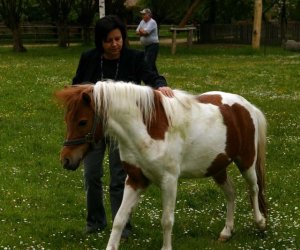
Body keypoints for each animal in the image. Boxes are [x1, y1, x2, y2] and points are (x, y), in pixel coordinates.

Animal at [55, 81, 268, 249]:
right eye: (67, 120)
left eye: (82, 122)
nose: (66, 159)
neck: (148, 129)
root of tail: (246, 106)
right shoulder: (135, 180)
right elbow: (119, 219)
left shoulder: (169, 181)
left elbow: (166, 221)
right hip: (217, 166)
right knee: (231, 193)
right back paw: (226, 232)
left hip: (246, 162)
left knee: (254, 189)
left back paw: (261, 223)